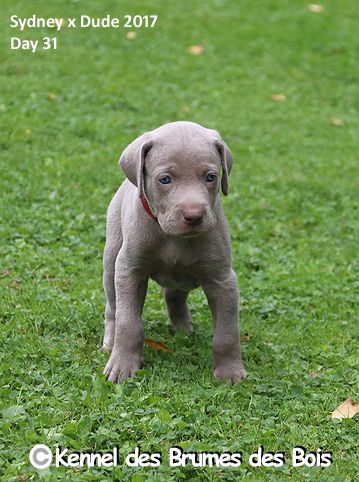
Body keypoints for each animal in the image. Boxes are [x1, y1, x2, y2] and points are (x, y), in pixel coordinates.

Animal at [102, 120, 246, 384]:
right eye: (165, 179)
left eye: (211, 177)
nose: (194, 216)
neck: (172, 239)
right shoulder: (130, 270)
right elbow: (128, 322)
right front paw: (122, 365)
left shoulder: (223, 280)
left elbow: (227, 332)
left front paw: (230, 372)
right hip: (111, 259)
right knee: (113, 308)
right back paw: (109, 341)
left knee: (174, 295)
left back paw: (183, 328)